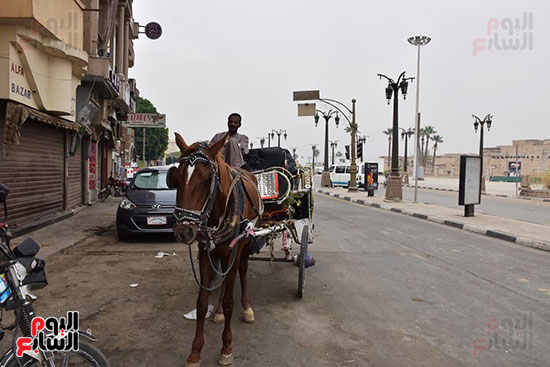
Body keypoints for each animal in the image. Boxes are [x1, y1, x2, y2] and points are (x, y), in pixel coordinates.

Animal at [168, 134, 264, 366]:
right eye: (177, 178)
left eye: (206, 179)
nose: (184, 231)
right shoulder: (205, 251)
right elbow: (202, 303)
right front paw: (195, 352)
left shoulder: (234, 252)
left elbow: (230, 301)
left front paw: (226, 347)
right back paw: (218, 312)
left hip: (244, 246)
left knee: (243, 271)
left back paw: (247, 308)